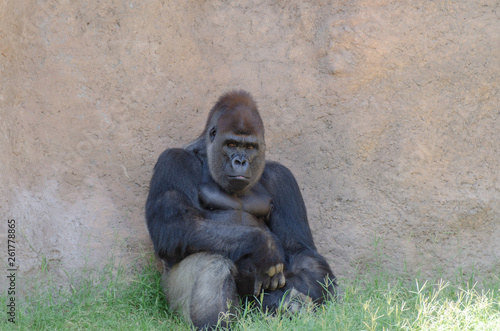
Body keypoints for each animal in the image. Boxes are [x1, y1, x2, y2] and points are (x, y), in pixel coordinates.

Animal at [146, 91, 338, 330]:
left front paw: (286, 299)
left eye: (249, 147)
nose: (240, 161)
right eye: (231, 144)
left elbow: (301, 251)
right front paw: (263, 246)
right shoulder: (173, 162)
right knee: (213, 262)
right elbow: (175, 225)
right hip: (174, 296)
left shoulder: (283, 178)